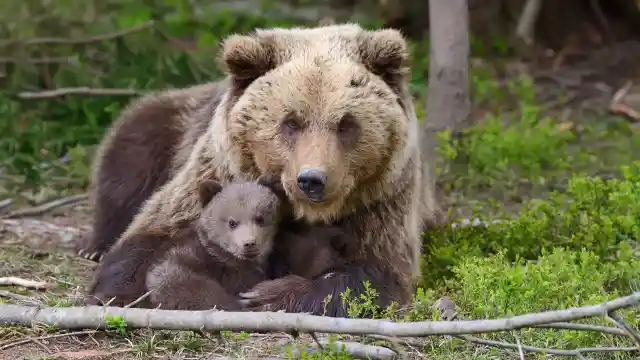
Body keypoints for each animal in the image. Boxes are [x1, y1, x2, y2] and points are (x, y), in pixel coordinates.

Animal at [79, 22, 440, 316]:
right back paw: (94, 245)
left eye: (346, 124)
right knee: (128, 160)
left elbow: (374, 275)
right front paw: (115, 292)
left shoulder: (380, 203)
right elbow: (148, 236)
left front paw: (266, 296)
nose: (312, 180)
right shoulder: (217, 175)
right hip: (169, 125)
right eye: (291, 122)